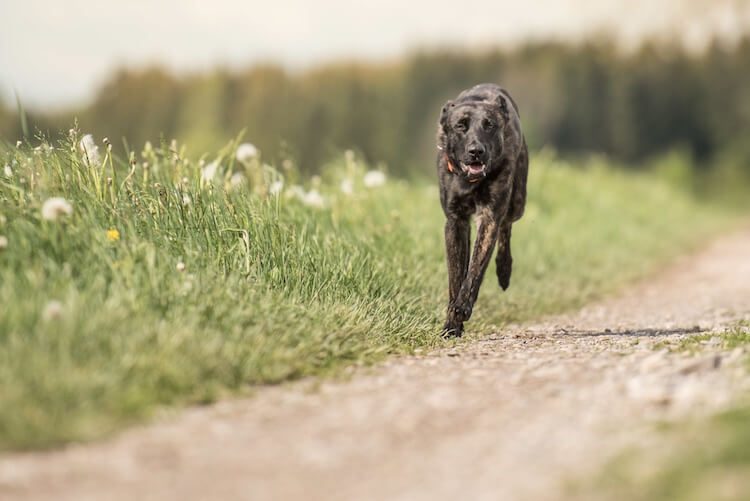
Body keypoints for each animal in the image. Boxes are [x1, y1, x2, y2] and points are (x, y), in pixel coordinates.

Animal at [434, 84, 528, 338]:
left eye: (489, 125)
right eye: (460, 125)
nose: (476, 151)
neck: (470, 181)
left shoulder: (489, 218)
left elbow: (475, 268)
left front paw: (462, 307)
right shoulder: (455, 222)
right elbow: (456, 276)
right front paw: (451, 325)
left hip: (517, 202)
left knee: (507, 226)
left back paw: (504, 270)